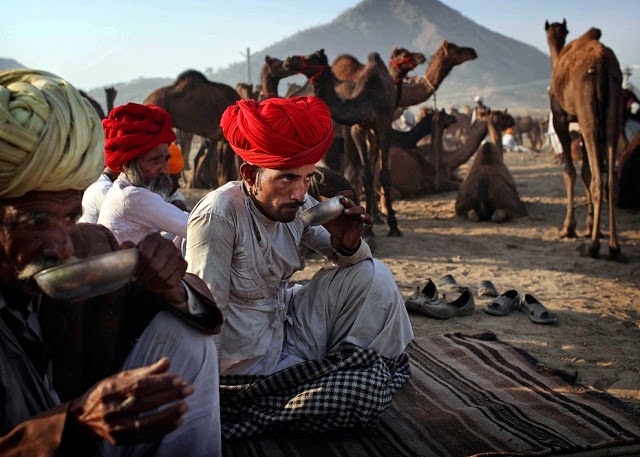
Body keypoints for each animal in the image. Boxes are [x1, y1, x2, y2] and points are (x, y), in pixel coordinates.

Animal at [284, 49, 400, 239]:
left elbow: (385, 175)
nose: (289, 60)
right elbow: (366, 174)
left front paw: (394, 225)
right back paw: (375, 216)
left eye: (314, 57)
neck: (368, 100)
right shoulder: (358, 128)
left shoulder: (384, 126)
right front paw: (369, 230)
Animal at [544, 19, 624, 260]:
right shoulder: (579, 125)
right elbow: (586, 172)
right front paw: (588, 227)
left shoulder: (560, 118)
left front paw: (568, 228)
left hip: (586, 108)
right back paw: (614, 247)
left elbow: (570, 172)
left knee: (599, 178)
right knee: (610, 180)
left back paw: (593, 246)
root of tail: (603, 63)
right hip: (612, 109)